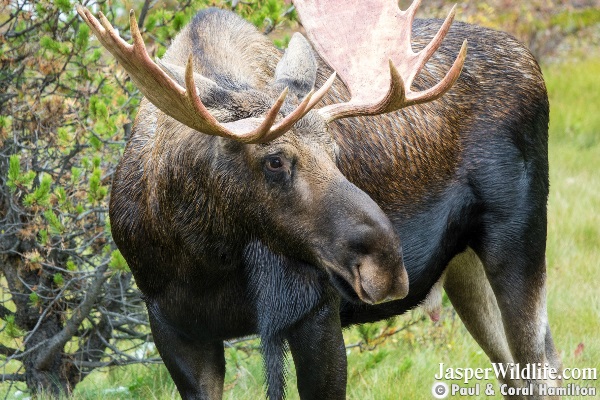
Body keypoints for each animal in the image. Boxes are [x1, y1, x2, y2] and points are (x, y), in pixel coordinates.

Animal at [76, 0, 564, 396]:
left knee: (543, 372)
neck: (205, 254)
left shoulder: (316, 314)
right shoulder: (174, 330)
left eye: (335, 152)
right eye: (274, 160)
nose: (387, 266)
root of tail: (530, 58)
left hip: (519, 237)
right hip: (463, 263)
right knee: (519, 372)